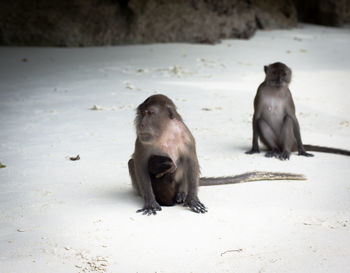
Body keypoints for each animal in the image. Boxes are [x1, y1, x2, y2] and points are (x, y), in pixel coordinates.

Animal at [129, 93, 306, 215]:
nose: (142, 124)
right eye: (142, 113)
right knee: (134, 164)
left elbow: (191, 162)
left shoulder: (186, 137)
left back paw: (182, 193)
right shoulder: (141, 139)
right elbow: (139, 163)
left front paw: (192, 198)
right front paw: (150, 201)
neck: (165, 132)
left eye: (150, 113)